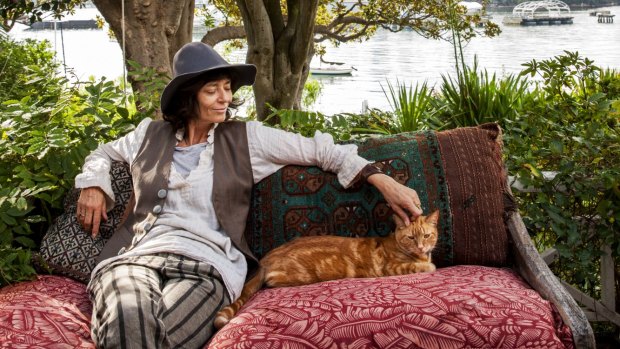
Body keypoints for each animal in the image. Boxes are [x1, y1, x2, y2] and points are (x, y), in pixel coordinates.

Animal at [214, 209, 440, 328]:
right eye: (411, 237)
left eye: (427, 235)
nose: (422, 246)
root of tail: (264, 260)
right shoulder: (391, 267)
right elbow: (423, 266)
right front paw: (428, 264)